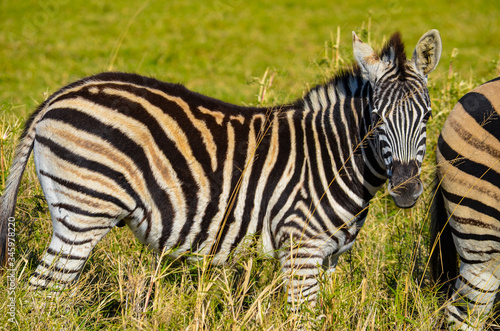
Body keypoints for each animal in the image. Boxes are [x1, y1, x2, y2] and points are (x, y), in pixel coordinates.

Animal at [0, 29, 442, 308]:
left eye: (427, 116)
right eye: (376, 119)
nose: (406, 191)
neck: (332, 157)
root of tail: (60, 95)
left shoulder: (330, 256)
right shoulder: (300, 248)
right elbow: (304, 316)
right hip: (84, 214)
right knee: (42, 295)